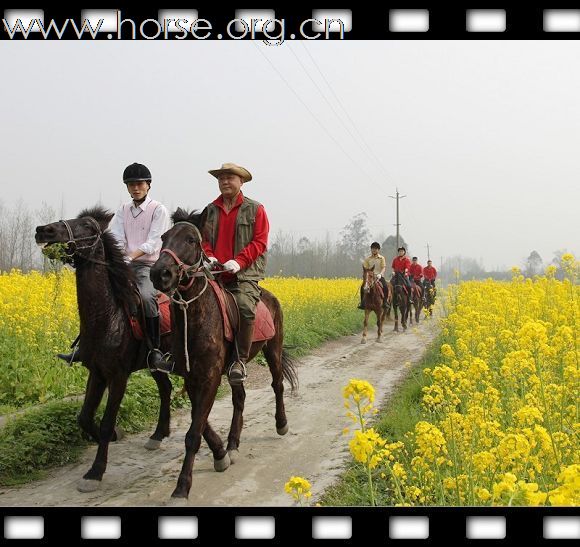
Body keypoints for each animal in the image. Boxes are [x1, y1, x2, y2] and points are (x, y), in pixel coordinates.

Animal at [34, 208, 173, 494]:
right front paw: (113, 435)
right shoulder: (96, 373)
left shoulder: (118, 377)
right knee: (166, 389)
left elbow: (107, 422)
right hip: (154, 365)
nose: (44, 230)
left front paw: (95, 472)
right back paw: (158, 434)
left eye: (87, 226)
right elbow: (84, 417)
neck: (108, 317)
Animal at [148, 210, 300, 500]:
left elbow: (194, 433)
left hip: (273, 349)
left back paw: (282, 423)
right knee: (239, 398)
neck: (195, 316)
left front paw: (182, 486)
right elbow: (199, 419)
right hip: (235, 368)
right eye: (163, 237)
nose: (160, 274)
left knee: (277, 385)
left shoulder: (210, 376)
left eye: (191, 240)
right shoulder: (191, 376)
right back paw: (232, 443)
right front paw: (220, 453)